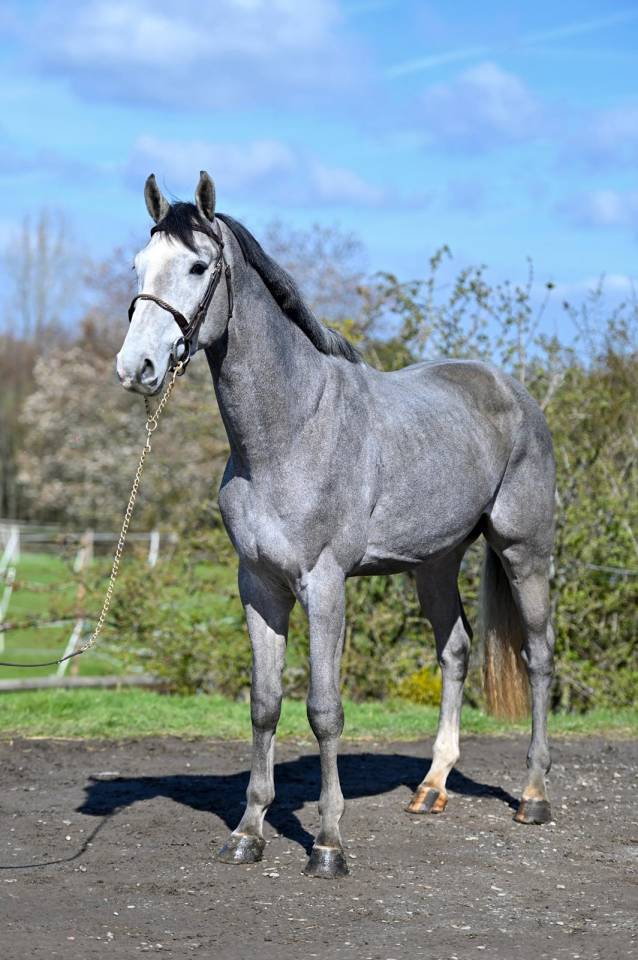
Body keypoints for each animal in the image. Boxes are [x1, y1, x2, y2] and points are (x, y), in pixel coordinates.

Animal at [116, 171, 556, 879]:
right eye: (137, 265)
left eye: (198, 266)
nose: (137, 369)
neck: (290, 430)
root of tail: (513, 393)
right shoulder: (259, 587)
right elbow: (264, 705)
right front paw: (248, 832)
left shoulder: (324, 586)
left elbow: (324, 710)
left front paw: (327, 844)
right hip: (435, 564)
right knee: (456, 650)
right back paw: (432, 787)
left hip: (524, 551)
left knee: (538, 657)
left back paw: (534, 796)